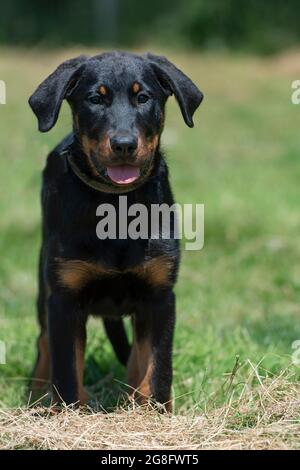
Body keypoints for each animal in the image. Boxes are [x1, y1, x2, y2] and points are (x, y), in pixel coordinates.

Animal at [28, 52, 203, 412]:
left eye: (143, 98)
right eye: (95, 99)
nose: (124, 145)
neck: (117, 205)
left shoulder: (160, 295)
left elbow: (157, 367)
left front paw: (155, 411)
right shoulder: (64, 299)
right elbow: (67, 371)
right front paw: (67, 412)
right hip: (44, 281)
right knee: (44, 340)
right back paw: (37, 395)